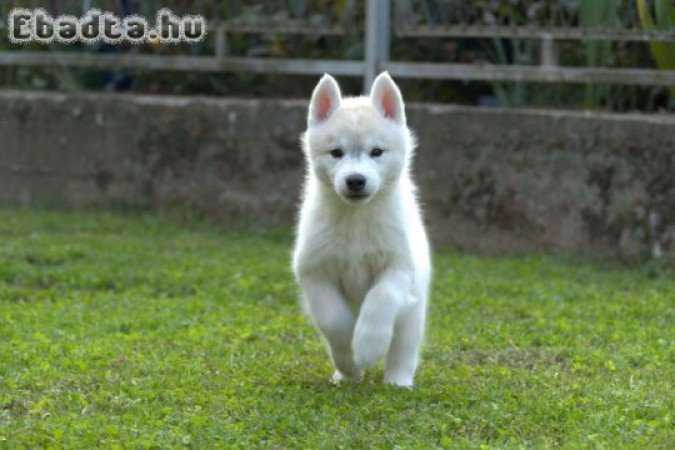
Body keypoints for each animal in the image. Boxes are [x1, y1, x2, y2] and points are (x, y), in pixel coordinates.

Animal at [292, 71, 430, 386]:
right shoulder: (314, 271)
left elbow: (382, 297)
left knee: (403, 349)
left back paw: (398, 381)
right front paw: (351, 362)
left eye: (376, 151)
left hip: (413, 315)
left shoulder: (400, 265)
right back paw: (344, 375)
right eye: (336, 152)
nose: (355, 180)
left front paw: (368, 345)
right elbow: (335, 321)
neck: (356, 219)